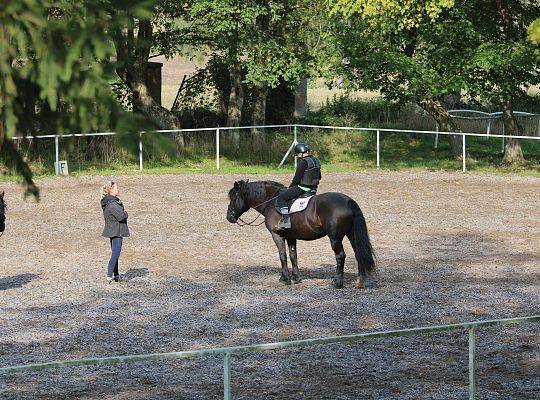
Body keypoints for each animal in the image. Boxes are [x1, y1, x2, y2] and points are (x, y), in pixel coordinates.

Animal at [227, 180, 376, 288]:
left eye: (234, 198)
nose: (229, 217)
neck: (270, 201)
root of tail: (348, 201)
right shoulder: (291, 237)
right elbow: (293, 256)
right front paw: (296, 278)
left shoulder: (277, 235)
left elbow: (282, 256)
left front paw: (285, 279)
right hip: (352, 235)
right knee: (358, 253)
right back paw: (360, 281)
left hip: (335, 238)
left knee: (340, 256)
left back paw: (338, 282)